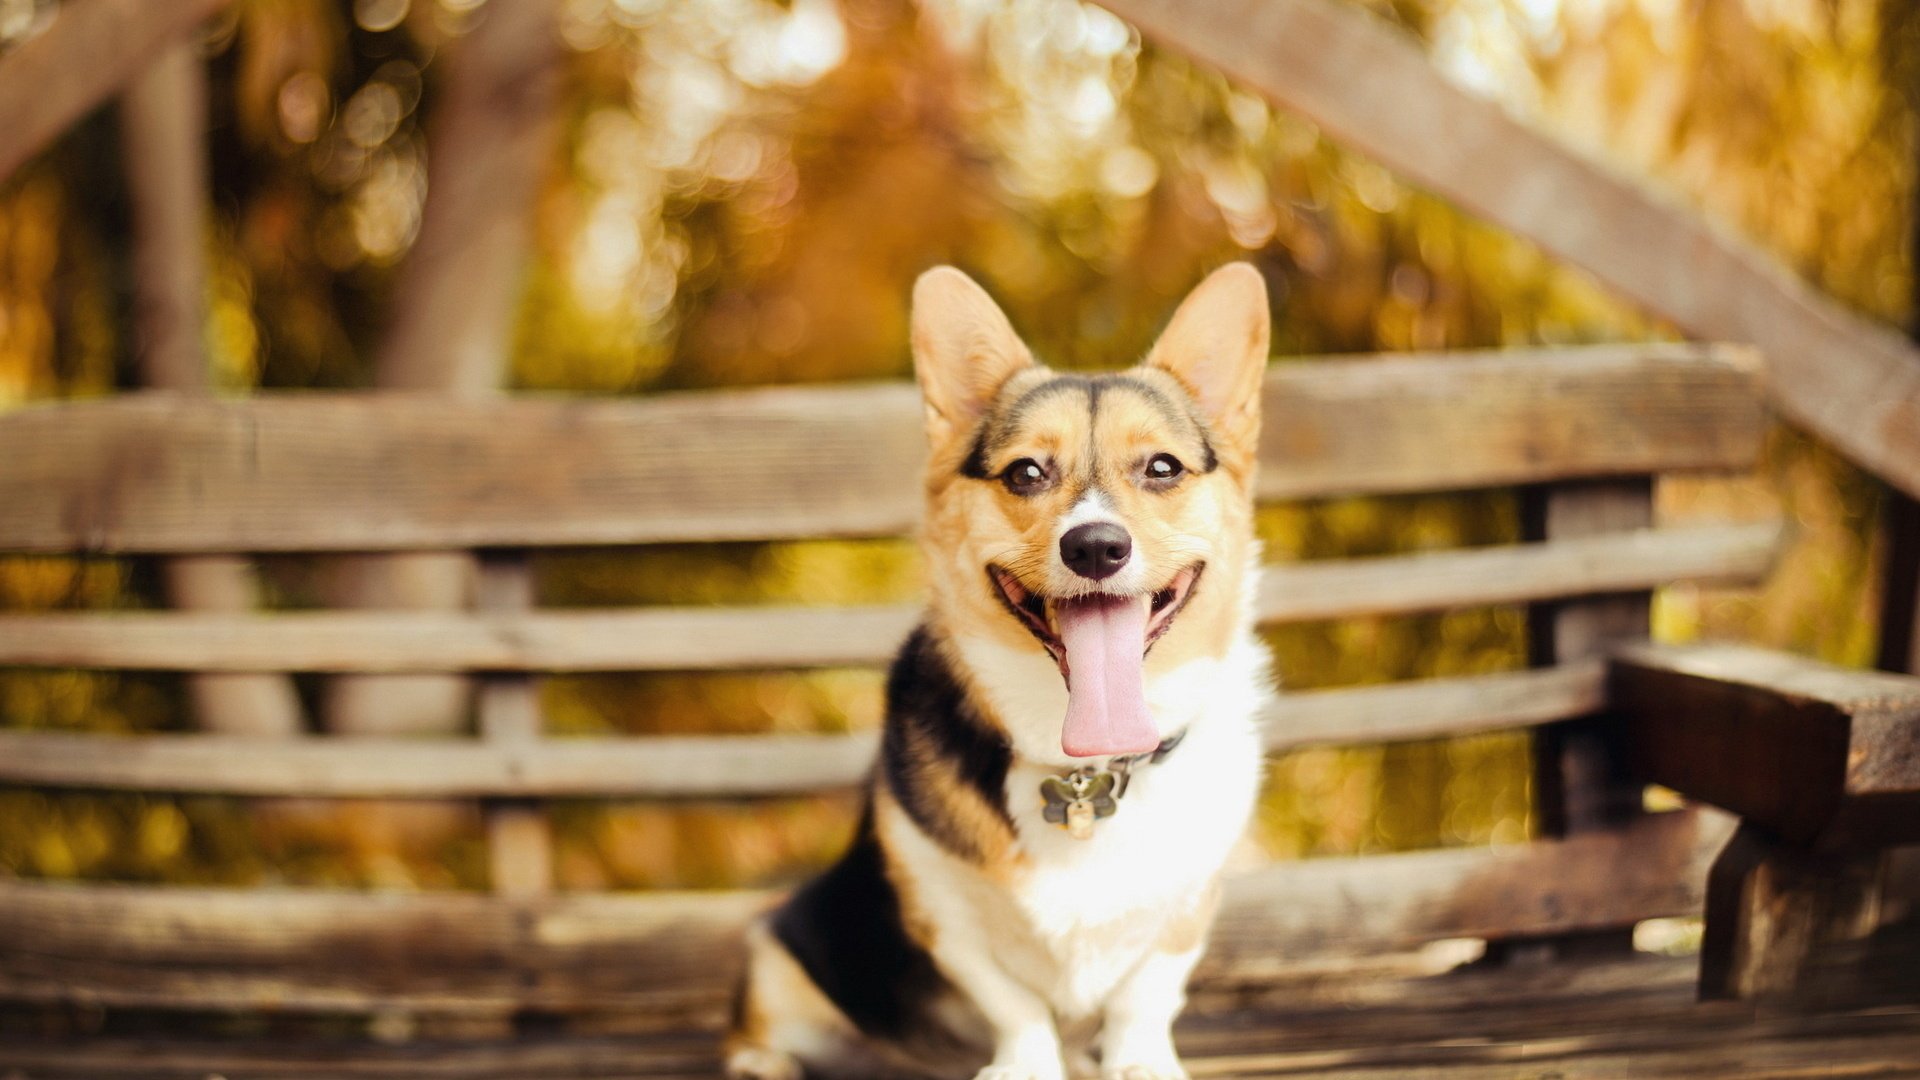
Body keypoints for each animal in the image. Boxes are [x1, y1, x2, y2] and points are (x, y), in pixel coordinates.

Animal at [721, 263, 1274, 1076]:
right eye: (1026, 473)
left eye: (1162, 467)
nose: (1096, 546)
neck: (1085, 772)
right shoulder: (940, 908)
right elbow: (1013, 1004)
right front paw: (1026, 1063)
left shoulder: (1187, 905)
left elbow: (1146, 993)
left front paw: (1138, 1059)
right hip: (780, 955)